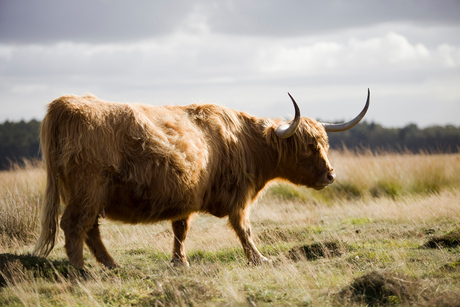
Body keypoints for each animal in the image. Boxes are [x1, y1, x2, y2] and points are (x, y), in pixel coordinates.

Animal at [33, 90, 370, 268]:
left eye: (324, 144)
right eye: (309, 147)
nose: (331, 175)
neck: (248, 143)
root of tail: (66, 103)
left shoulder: (184, 195)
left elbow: (180, 230)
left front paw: (179, 262)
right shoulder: (239, 197)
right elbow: (244, 229)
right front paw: (260, 259)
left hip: (91, 194)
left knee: (90, 230)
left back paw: (112, 265)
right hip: (88, 189)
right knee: (74, 226)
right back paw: (81, 272)